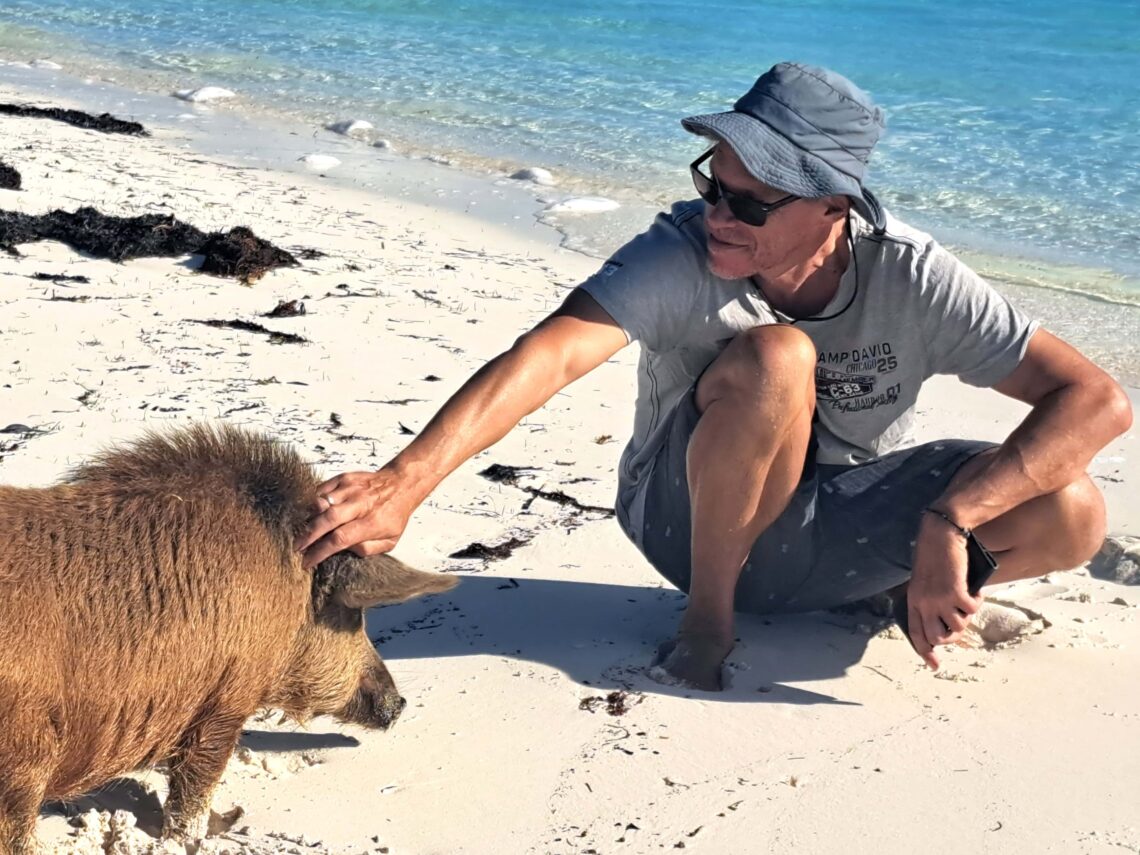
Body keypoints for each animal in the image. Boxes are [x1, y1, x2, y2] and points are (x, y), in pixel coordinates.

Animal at [0, 424, 457, 854]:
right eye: (353, 615)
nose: (399, 704)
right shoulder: (226, 696)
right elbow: (196, 785)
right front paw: (207, 831)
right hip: (25, 753)